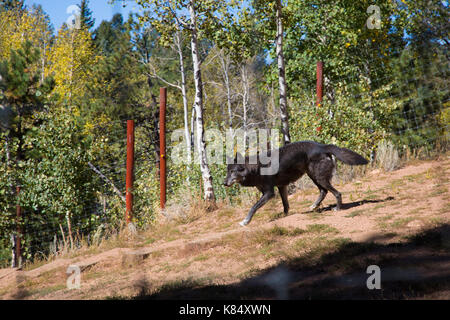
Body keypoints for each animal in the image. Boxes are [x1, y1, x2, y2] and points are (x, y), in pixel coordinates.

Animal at [224, 141, 370, 226]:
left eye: (232, 171)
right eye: (227, 171)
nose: (223, 183)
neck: (256, 168)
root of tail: (322, 146)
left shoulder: (269, 193)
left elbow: (253, 207)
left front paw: (245, 221)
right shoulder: (281, 187)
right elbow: (286, 205)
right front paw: (284, 216)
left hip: (319, 178)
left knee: (337, 193)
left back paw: (337, 208)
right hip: (314, 177)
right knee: (324, 191)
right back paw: (314, 206)